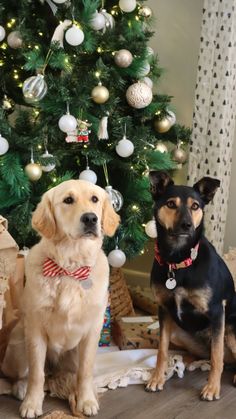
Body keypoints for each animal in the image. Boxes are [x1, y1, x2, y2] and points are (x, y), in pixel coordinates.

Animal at [148, 171, 236, 404]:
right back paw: (183, 362)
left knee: (221, 355)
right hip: (178, 333)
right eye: (170, 204)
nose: (187, 225)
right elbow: (161, 350)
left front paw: (212, 389)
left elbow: (216, 357)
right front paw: (157, 378)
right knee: (200, 355)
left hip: (232, 331)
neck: (178, 261)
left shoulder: (217, 312)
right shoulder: (164, 309)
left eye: (195, 206)